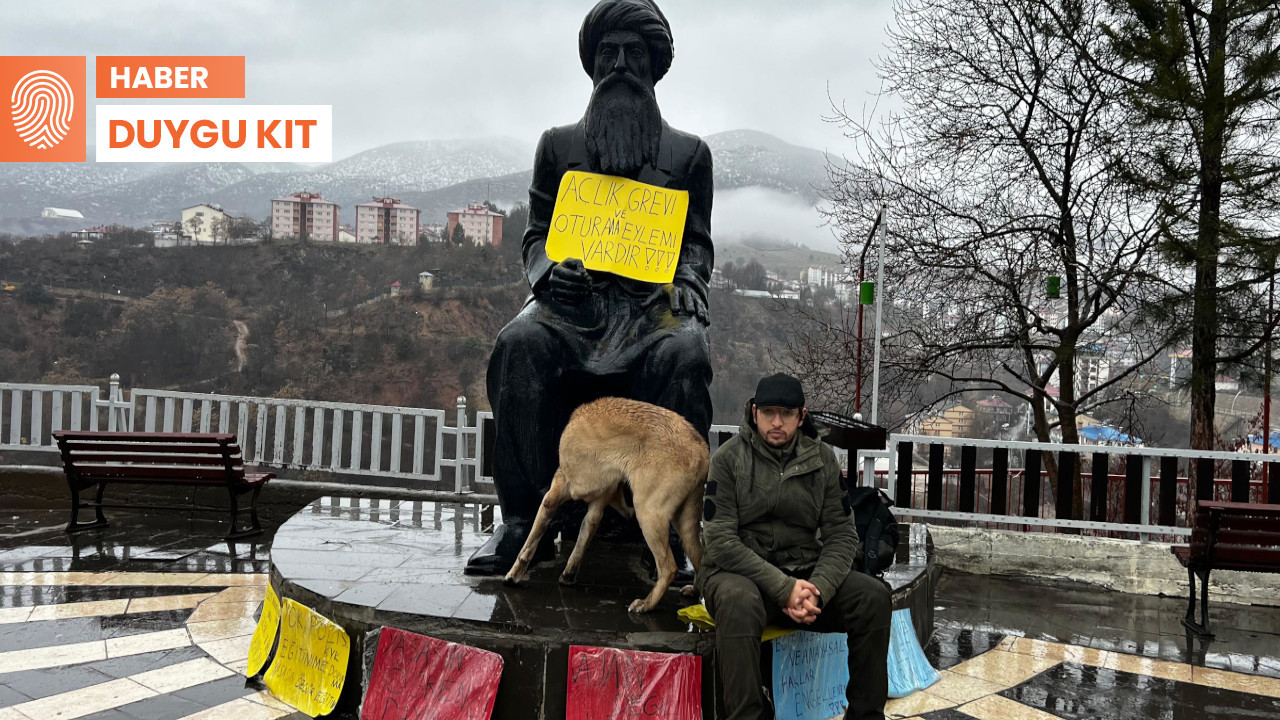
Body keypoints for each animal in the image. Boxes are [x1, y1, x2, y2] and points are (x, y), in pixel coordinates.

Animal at [501, 394, 711, 607]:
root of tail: (701, 449)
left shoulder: (553, 496)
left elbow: (529, 543)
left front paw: (513, 576)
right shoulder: (597, 507)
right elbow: (581, 543)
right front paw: (569, 575)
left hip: (648, 515)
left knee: (669, 568)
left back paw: (645, 605)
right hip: (683, 523)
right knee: (700, 557)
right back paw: (694, 592)